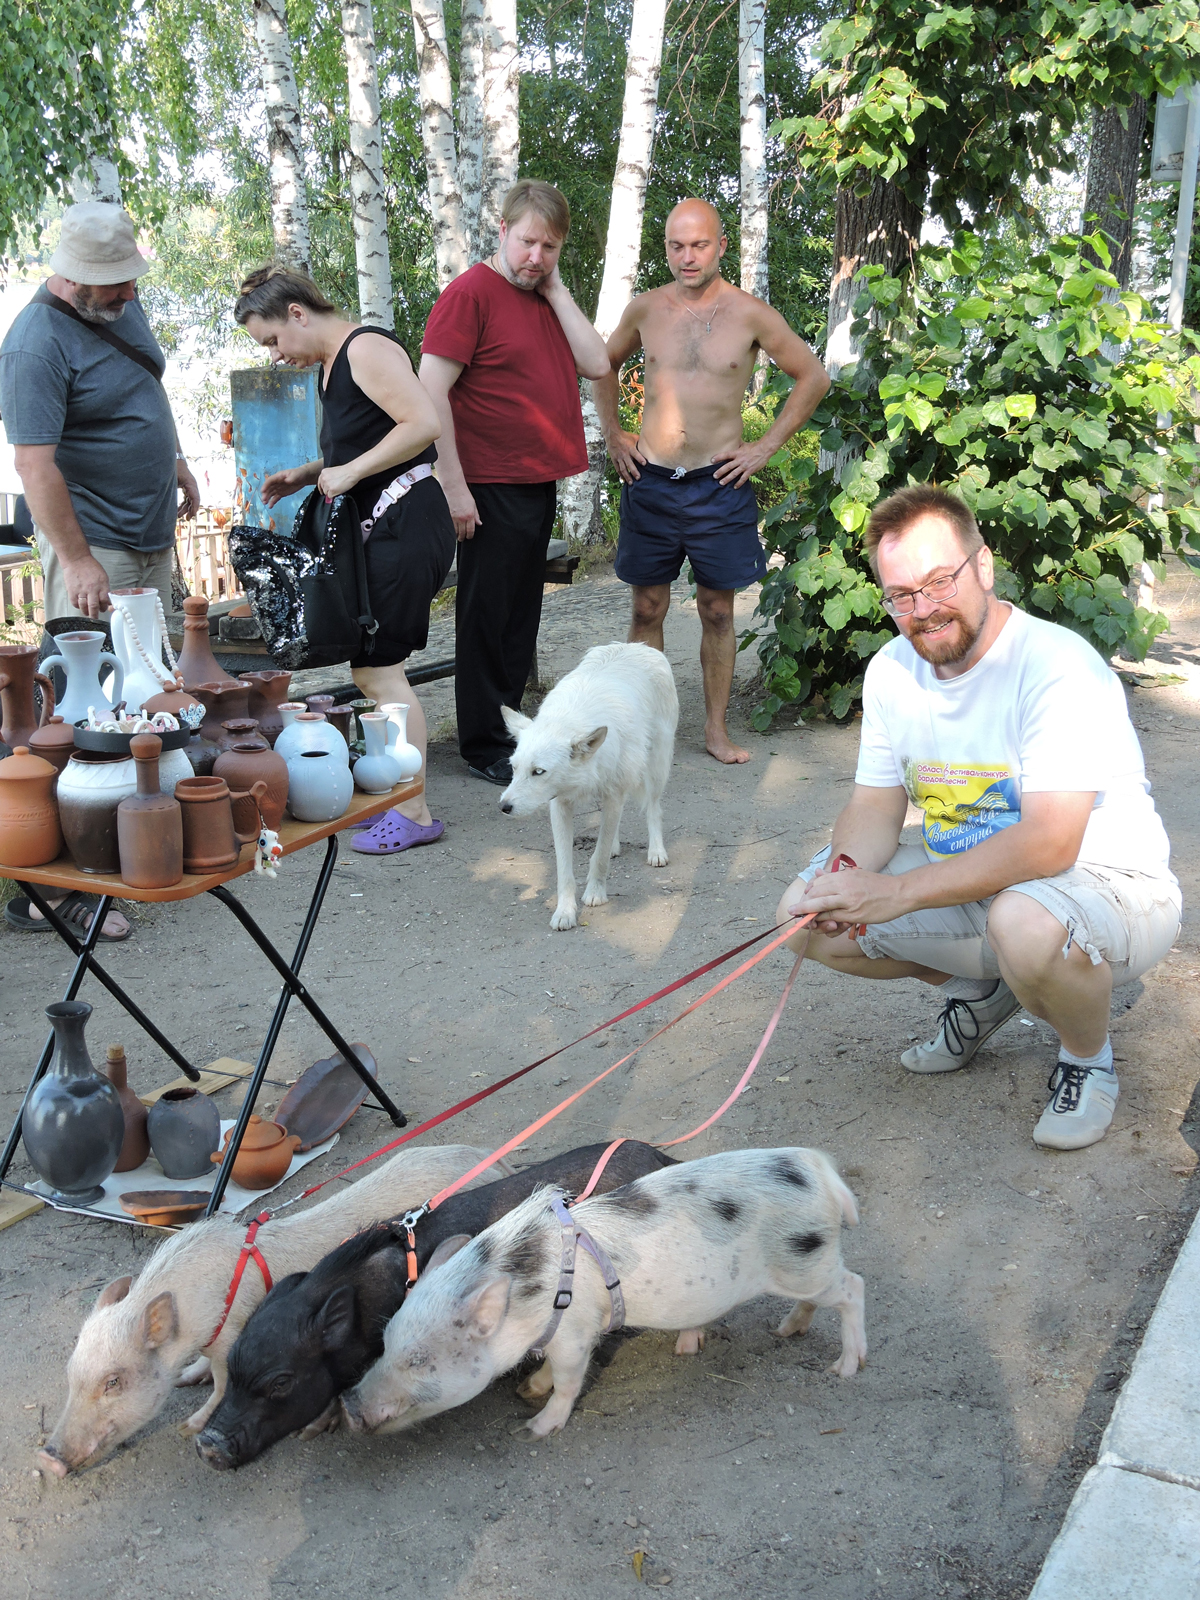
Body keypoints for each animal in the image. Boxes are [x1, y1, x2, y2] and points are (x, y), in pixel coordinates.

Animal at [192, 1139, 672, 1465]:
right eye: (231, 1369)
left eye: (280, 1382)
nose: (205, 1445)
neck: (361, 1298)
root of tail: (660, 1157)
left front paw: (315, 1429)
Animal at [342, 1152, 870, 1440]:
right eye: (385, 1345)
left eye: (419, 1360)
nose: (347, 1402)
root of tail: (820, 1170)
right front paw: (526, 1390)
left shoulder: (576, 1334)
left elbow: (569, 1380)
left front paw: (533, 1428)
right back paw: (781, 1332)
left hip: (806, 1262)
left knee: (854, 1287)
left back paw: (844, 1369)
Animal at [502, 640, 681, 934]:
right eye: (514, 768)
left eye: (538, 772)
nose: (503, 807)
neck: (569, 718)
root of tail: (637, 645)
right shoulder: (560, 806)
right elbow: (565, 870)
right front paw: (565, 911)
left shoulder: (613, 795)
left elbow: (599, 856)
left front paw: (595, 894)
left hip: (657, 767)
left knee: (653, 809)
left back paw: (656, 851)